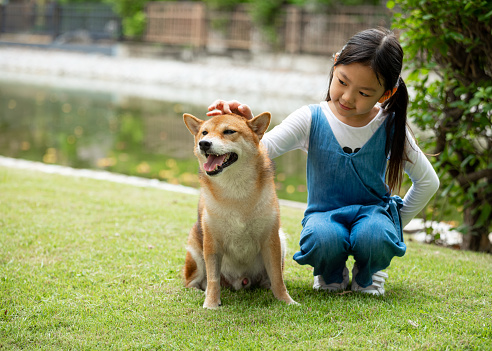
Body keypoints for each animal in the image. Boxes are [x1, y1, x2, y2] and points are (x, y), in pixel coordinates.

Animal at [182, 111, 294, 310]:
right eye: (204, 133)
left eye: (229, 131)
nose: (204, 144)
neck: (236, 191)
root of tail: (239, 282)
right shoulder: (211, 242)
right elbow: (213, 280)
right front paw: (211, 304)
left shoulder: (271, 240)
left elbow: (278, 279)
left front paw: (286, 300)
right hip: (195, 250)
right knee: (193, 282)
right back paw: (199, 291)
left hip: (281, 241)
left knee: (270, 279)